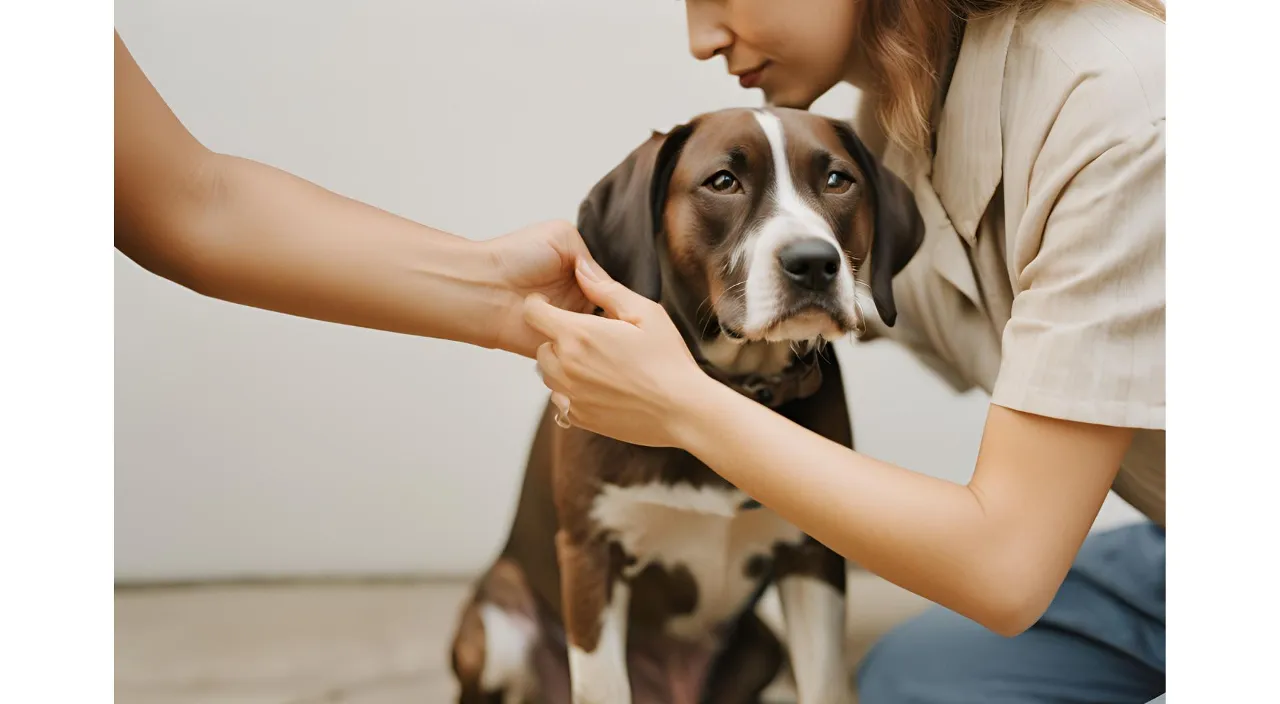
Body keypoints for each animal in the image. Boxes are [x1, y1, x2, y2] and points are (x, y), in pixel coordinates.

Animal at [448, 106, 921, 704]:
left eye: (838, 180)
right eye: (722, 181)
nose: (814, 263)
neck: (723, 394)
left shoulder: (812, 556)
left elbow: (824, 684)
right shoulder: (592, 555)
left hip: (759, 648)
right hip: (496, 627)